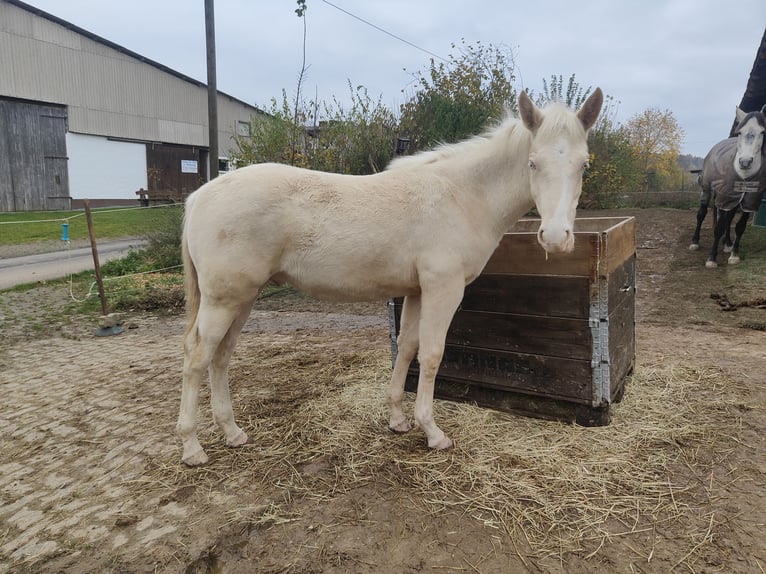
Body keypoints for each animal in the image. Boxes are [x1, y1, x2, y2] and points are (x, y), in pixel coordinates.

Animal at [692, 106, 766, 268]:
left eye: (763, 132)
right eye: (739, 132)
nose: (745, 162)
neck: (744, 176)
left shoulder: (749, 201)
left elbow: (739, 227)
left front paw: (734, 255)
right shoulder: (724, 198)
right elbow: (718, 227)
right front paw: (712, 259)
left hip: (733, 200)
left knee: (728, 220)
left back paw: (727, 244)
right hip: (707, 190)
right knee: (701, 214)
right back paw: (695, 242)